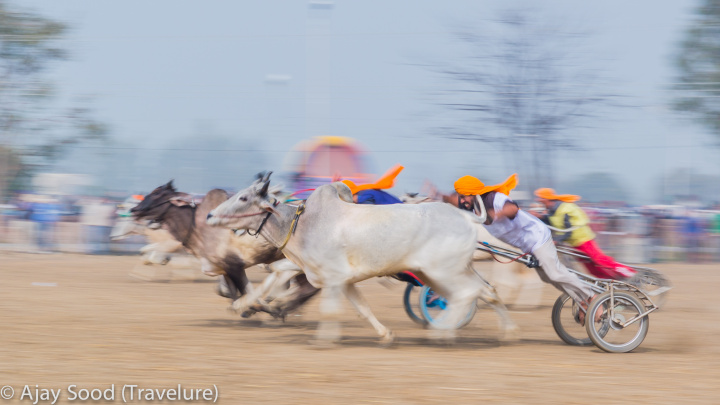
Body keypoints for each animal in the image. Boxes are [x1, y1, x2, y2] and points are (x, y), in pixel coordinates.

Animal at [208, 178, 516, 346]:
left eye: (243, 197)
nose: (210, 215)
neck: (300, 225)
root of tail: (469, 218)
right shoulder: (344, 282)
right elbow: (364, 309)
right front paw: (386, 334)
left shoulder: (332, 279)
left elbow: (329, 310)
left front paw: (322, 340)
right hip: (447, 272)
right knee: (486, 291)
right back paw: (508, 332)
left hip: (442, 273)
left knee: (466, 294)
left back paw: (440, 332)